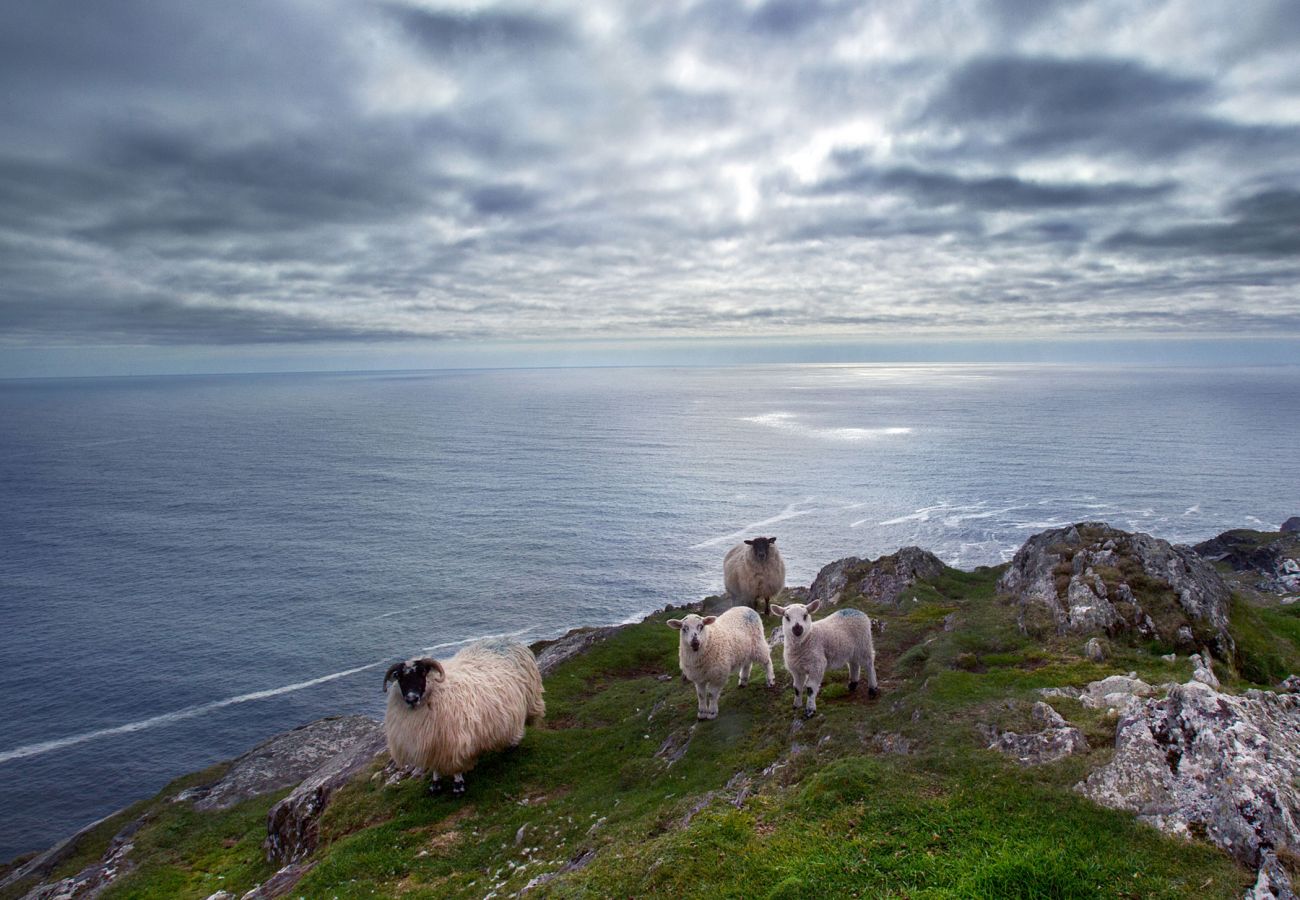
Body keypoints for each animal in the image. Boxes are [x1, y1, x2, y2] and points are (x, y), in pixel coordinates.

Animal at [384, 632, 548, 795]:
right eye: (399, 677)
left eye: (423, 672)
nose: (411, 698)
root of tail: (506, 639)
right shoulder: (432, 743)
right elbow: (435, 766)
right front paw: (435, 785)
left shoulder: (454, 740)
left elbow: (456, 767)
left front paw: (458, 786)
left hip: (529, 700)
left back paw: (512, 746)